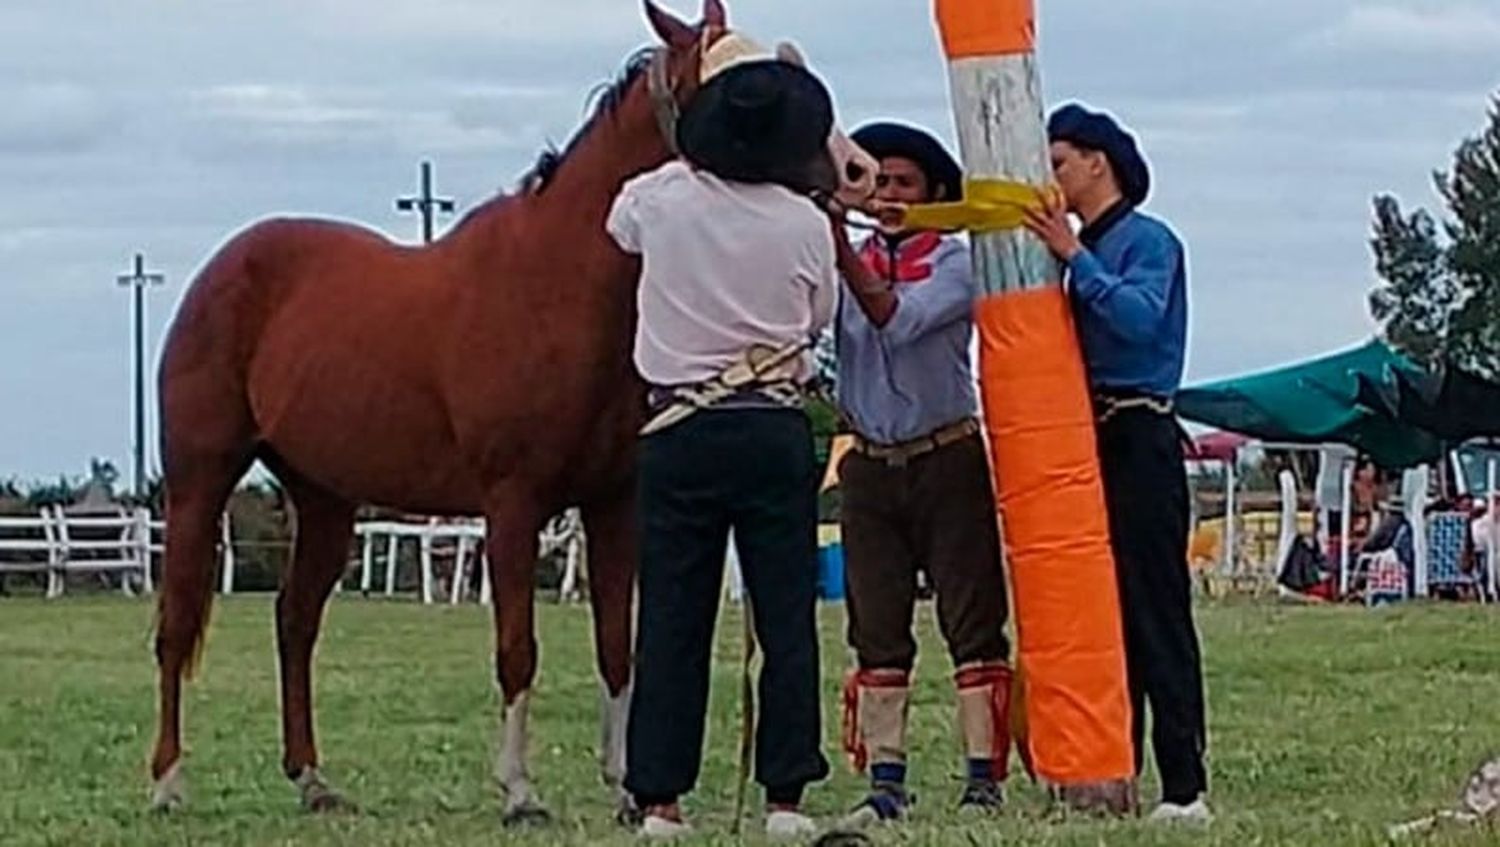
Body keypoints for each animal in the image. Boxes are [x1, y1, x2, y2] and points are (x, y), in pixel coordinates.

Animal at [146, 0, 876, 821]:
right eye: (744, 87)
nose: (858, 170)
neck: (557, 286)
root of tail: (221, 269)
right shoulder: (512, 503)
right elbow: (517, 648)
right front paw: (521, 790)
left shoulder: (612, 502)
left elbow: (617, 645)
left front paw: (628, 786)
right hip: (199, 482)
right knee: (177, 628)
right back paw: (169, 782)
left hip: (325, 498)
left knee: (295, 624)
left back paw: (311, 779)